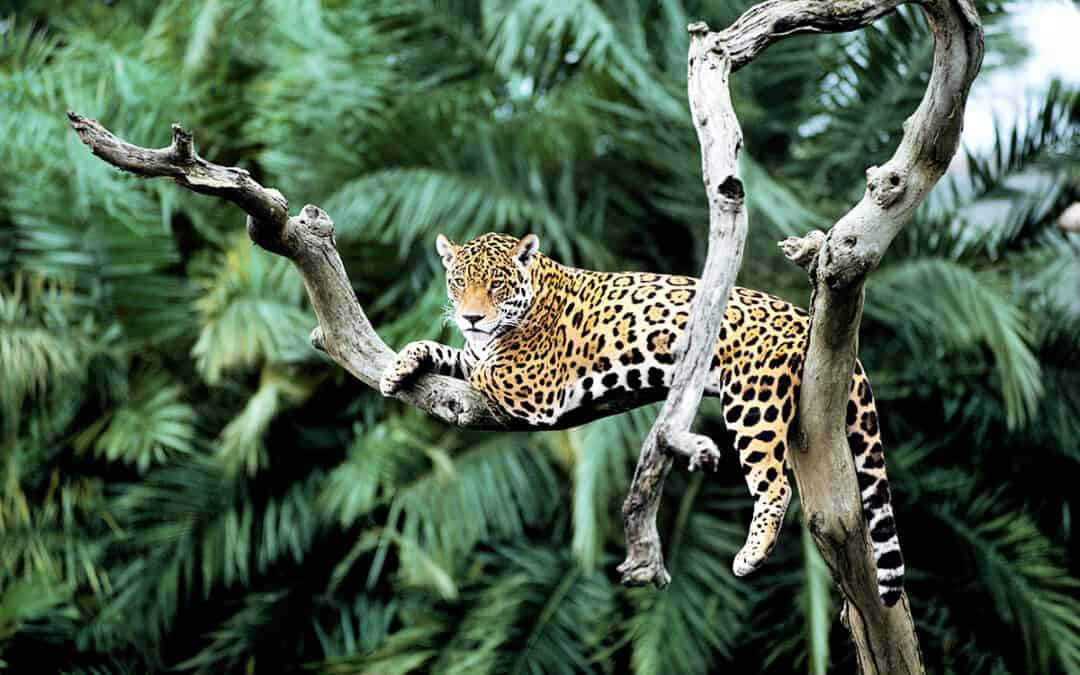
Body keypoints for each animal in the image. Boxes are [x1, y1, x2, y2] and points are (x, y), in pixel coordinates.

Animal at [381, 232, 905, 606]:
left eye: (496, 284)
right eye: (458, 283)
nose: (472, 317)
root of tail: (804, 317)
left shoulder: (532, 384)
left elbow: (482, 365)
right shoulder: (481, 353)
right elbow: (449, 352)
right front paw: (399, 366)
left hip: (752, 401)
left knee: (774, 484)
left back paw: (751, 555)